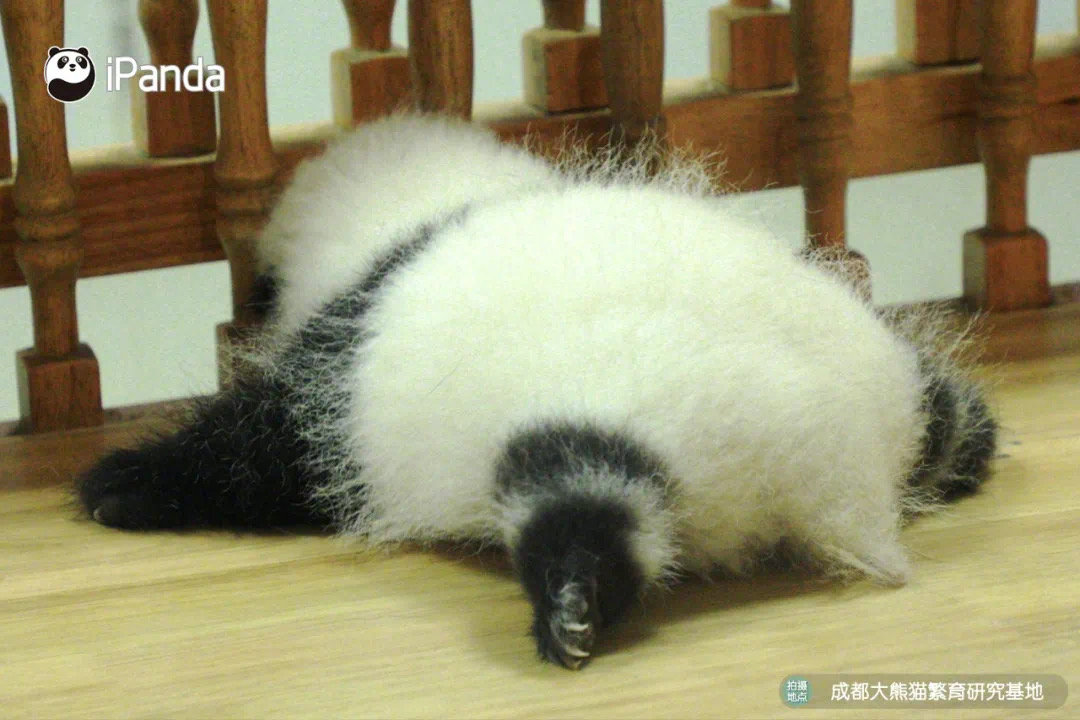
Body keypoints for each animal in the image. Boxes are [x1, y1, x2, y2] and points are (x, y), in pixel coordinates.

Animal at [77, 114, 997, 670]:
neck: (422, 199)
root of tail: (827, 471)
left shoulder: (343, 364)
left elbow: (265, 446)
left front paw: (120, 483)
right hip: (865, 376)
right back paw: (964, 440)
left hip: (625, 391)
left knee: (582, 484)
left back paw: (572, 601)